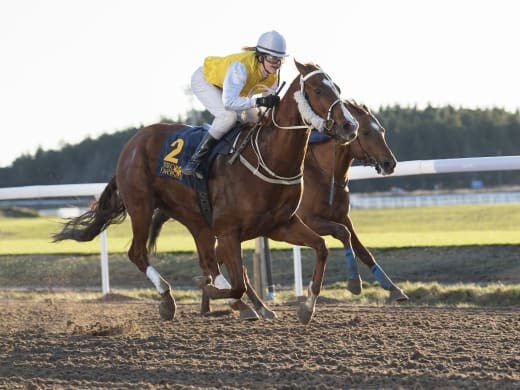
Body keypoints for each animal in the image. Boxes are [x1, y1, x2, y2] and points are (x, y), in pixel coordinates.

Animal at [53, 60, 362, 322]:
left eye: (338, 88)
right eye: (319, 89)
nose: (350, 126)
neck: (269, 158)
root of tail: (132, 144)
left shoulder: (279, 225)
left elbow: (321, 248)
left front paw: (307, 306)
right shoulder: (228, 230)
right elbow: (237, 282)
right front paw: (218, 293)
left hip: (195, 218)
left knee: (208, 260)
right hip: (141, 205)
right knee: (138, 253)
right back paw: (169, 299)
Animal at [148, 100, 408, 320]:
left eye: (381, 130)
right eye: (366, 133)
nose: (390, 163)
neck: (324, 173)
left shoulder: (342, 216)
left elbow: (362, 249)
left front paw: (394, 290)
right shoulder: (311, 220)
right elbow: (342, 234)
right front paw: (354, 283)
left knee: (225, 264)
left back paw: (231, 305)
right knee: (226, 265)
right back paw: (230, 305)